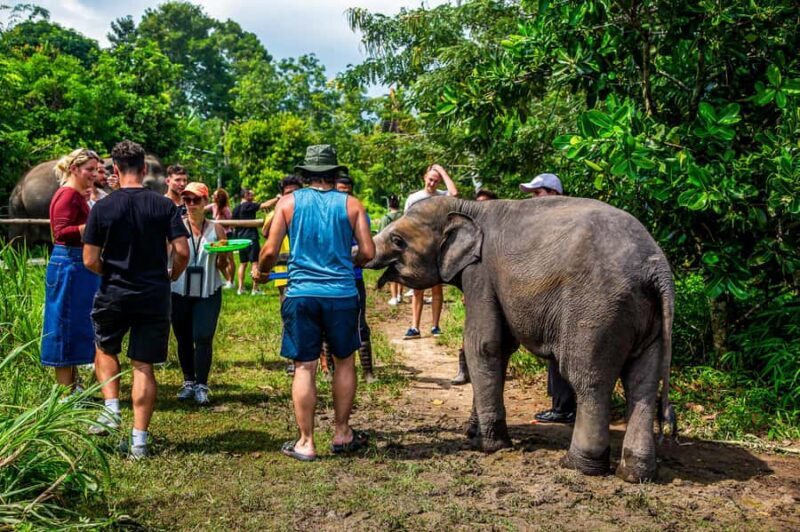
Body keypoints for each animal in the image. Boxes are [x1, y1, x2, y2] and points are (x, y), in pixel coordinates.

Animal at [367, 195, 675, 482]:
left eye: (398, 241)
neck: (467, 206)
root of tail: (656, 268)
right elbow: (501, 349)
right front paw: (473, 432)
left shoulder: (480, 272)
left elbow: (483, 345)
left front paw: (489, 446)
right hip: (649, 318)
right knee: (643, 383)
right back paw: (636, 475)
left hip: (596, 310)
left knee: (588, 379)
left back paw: (577, 466)